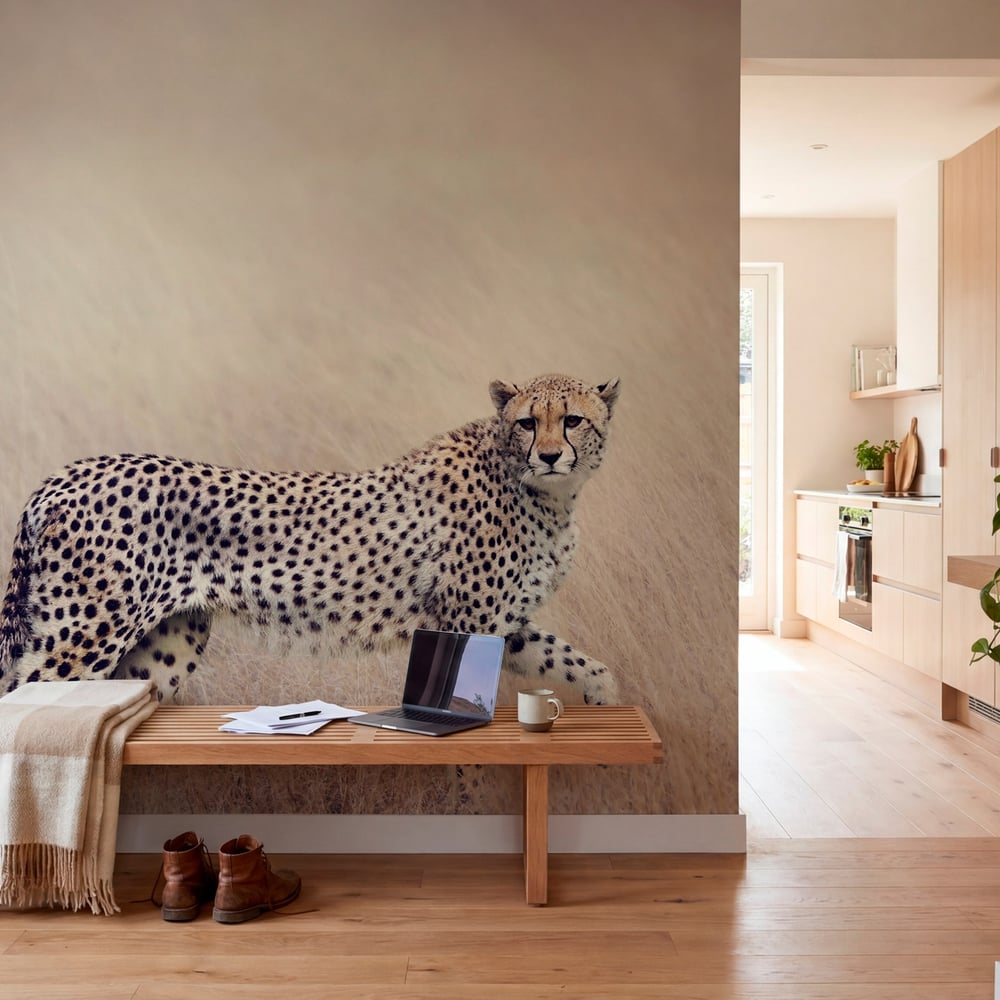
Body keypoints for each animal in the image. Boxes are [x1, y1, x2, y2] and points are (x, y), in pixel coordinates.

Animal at [0, 373, 621, 711]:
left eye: (571, 420)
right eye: (527, 423)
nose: (549, 455)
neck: (547, 495)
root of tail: (67, 473)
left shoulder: (504, 625)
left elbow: (578, 663)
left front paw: (607, 703)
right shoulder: (469, 620)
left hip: (164, 647)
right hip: (84, 637)